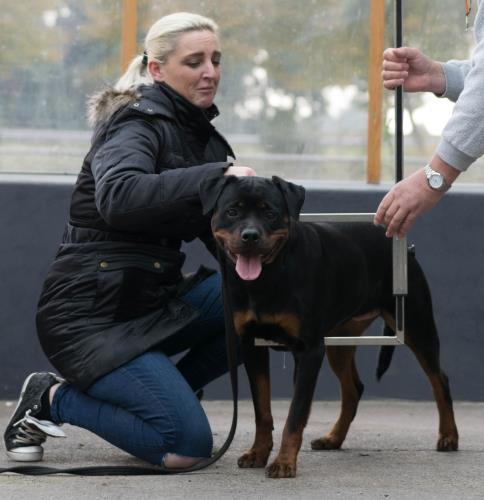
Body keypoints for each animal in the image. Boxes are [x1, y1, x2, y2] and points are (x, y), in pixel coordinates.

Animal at [198, 174, 458, 478]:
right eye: (232, 211)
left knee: (439, 379)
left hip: (418, 324)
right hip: (341, 339)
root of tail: (404, 247)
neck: (268, 277)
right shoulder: (252, 346)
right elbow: (262, 411)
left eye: (270, 213)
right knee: (354, 389)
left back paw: (449, 435)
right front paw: (258, 453)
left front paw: (284, 462)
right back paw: (333, 438)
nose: (250, 235)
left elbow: (296, 414)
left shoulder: (309, 349)